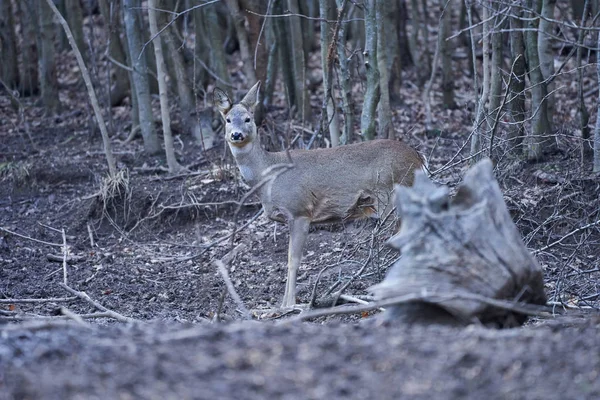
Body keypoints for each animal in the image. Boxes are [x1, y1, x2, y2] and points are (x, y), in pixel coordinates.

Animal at [213, 81, 424, 306]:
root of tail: (419, 158)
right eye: (228, 119)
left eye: (248, 119)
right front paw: (283, 303)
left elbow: (293, 260)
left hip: (389, 197)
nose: (236, 135)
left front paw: (289, 304)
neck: (269, 176)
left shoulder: (299, 211)